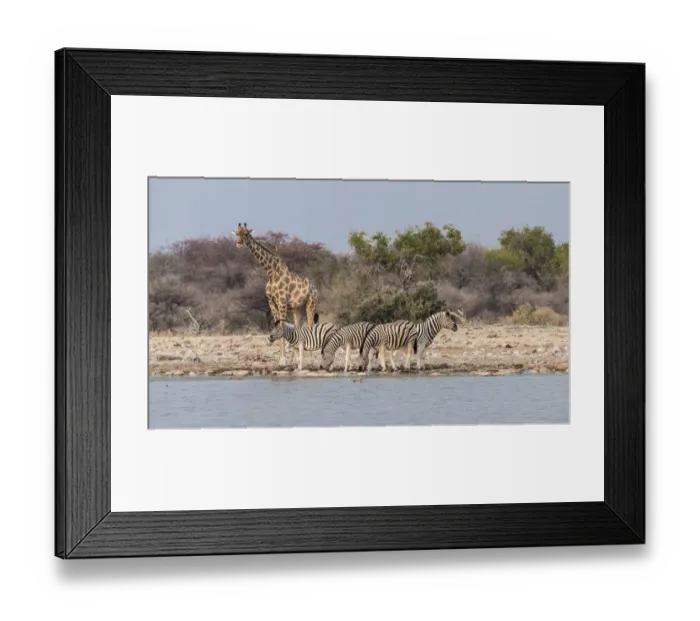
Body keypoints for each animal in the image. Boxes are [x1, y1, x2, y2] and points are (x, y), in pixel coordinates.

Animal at [234, 223, 320, 366]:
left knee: (311, 326)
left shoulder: (282, 302)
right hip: (297, 308)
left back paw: (313, 361)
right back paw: (296, 359)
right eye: (237, 234)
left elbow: (282, 326)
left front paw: (283, 360)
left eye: (246, 233)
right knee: (298, 327)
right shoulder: (271, 303)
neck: (271, 272)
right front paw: (282, 360)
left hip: (311, 304)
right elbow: (278, 326)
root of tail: (316, 289)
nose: (239, 244)